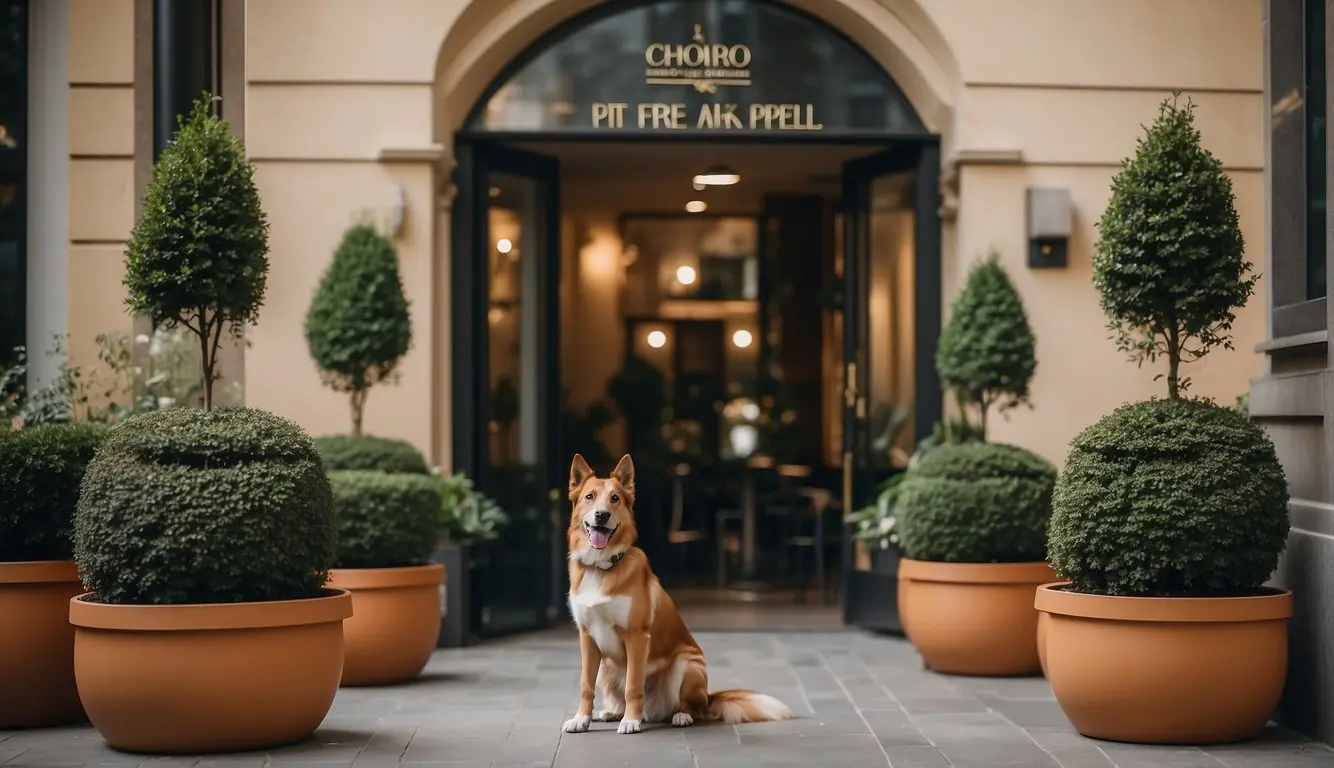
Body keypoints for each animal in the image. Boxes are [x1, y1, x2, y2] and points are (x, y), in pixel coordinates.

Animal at [560, 453, 795, 736]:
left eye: (614, 498)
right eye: (589, 497)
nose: (602, 515)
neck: (601, 566)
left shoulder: (637, 636)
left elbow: (633, 686)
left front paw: (630, 721)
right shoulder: (587, 637)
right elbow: (586, 685)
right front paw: (581, 719)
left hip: (686, 665)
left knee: (694, 708)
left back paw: (677, 716)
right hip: (607, 666)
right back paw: (611, 712)